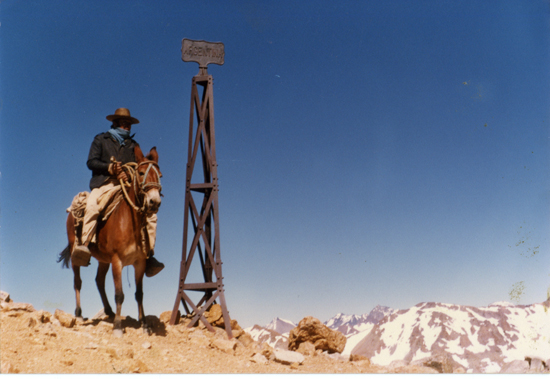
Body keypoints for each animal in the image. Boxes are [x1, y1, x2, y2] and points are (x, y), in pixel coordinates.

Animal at [58, 146, 162, 338]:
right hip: (77, 253)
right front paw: (118, 327)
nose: (154, 202)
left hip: (103, 260)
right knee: (78, 281)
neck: (130, 222)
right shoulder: (117, 261)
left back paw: (109, 311)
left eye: (160, 175)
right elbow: (119, 294)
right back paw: (79, 314)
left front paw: (144, 324)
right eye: (141, 172)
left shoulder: (139, 263)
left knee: (99, 281)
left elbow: (139, 293)